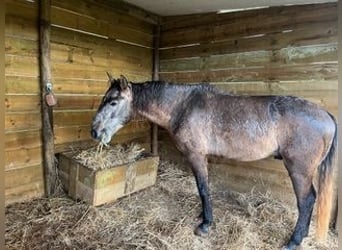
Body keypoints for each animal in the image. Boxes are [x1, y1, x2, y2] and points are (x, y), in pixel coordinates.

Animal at [90, 73, 336, 249]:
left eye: (113, 102)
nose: (94, 131)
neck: (182, 106)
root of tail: (327, 115)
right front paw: (203, 216)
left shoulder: (196, 155)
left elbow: (203, 188)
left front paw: (205, 224)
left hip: (299, 170)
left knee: (307, 200)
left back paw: (294, 241)